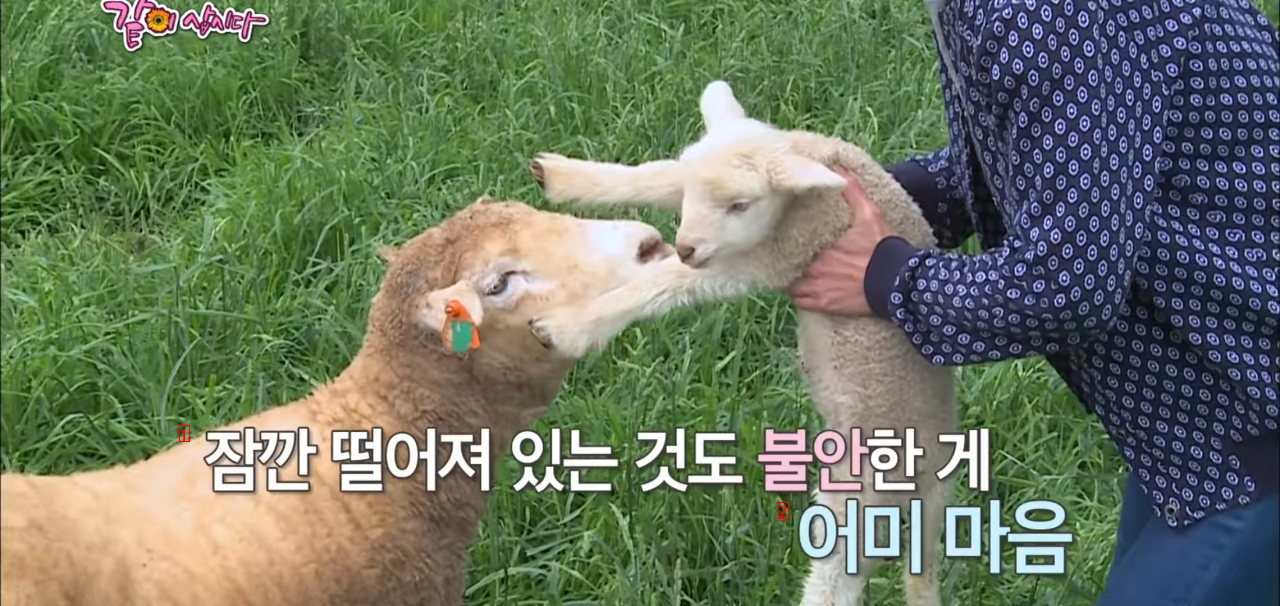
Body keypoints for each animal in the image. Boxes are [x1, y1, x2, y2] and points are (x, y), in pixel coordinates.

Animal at [524, 81, 957, 604]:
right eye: (698, 197)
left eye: (740, 206)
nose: (686, 247)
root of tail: (936, 486)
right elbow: (655, 176)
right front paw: (562, 175)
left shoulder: (769, 256)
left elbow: (664, 286)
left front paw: (566, 327)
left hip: (865, 501)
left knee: (837, 580)